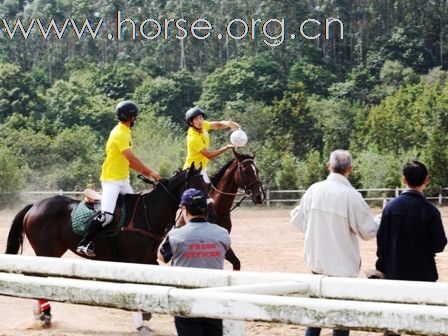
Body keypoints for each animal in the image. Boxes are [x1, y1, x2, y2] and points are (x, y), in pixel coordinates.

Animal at [4, 164, 207, 326]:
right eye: (198, 185)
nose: (207, 210)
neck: (146, 213)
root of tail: (34, 205)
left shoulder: (147, 259)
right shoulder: (135, 260)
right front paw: (142, 317)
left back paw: (40, 312)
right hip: (47, 251)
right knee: (37, 277)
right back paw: (44, 313)